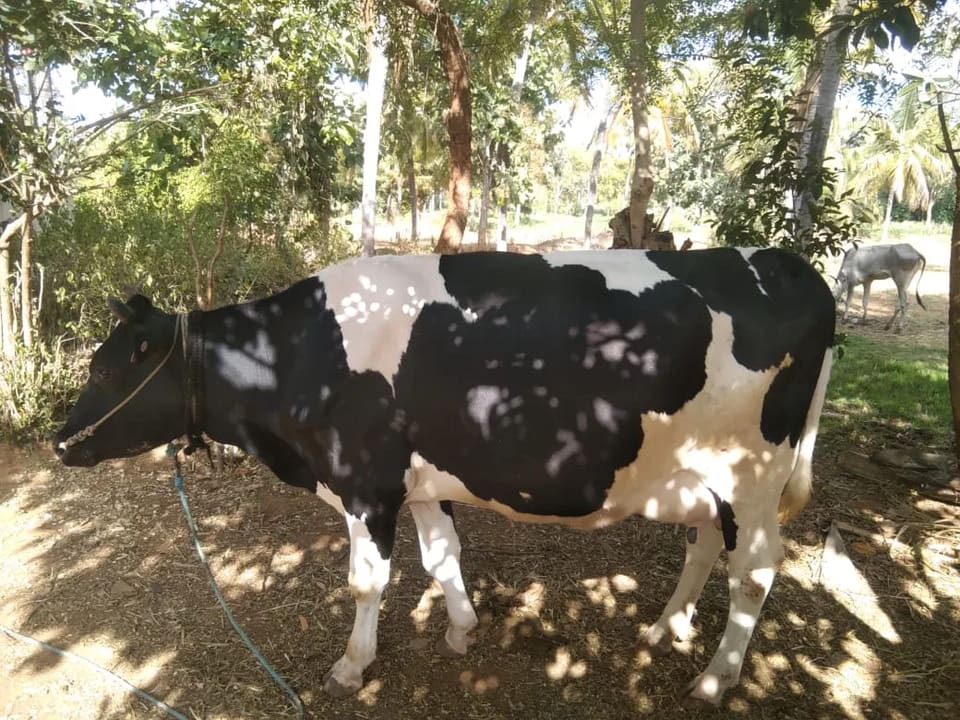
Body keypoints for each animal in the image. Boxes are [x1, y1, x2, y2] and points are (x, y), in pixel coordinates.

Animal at [54, 248, 835, 707]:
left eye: (104, 369)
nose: (61, 442)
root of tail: (787, 261)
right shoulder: (421, 481)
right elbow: (441, 556)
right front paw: (462, 628)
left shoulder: (365, 484)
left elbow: (368, 581)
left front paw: (352, 665)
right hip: (700, 476)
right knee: (705, 545)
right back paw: (663, 626)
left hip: (752, 474)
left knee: (755, 572)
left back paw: (716, 677)